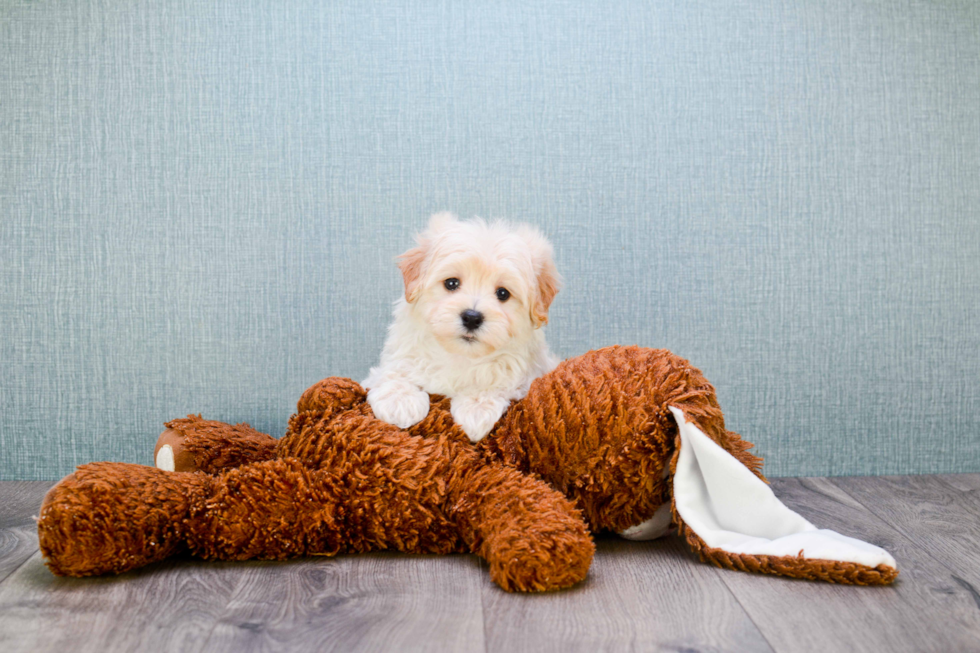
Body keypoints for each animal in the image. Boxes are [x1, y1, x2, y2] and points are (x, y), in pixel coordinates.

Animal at [362, 214, 564, 444]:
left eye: (503, 293)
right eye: (451, 283)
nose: (472, 317)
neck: (460, 356)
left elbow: (495, 381)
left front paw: (476, 409)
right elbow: (394, 372)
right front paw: (400, 402)